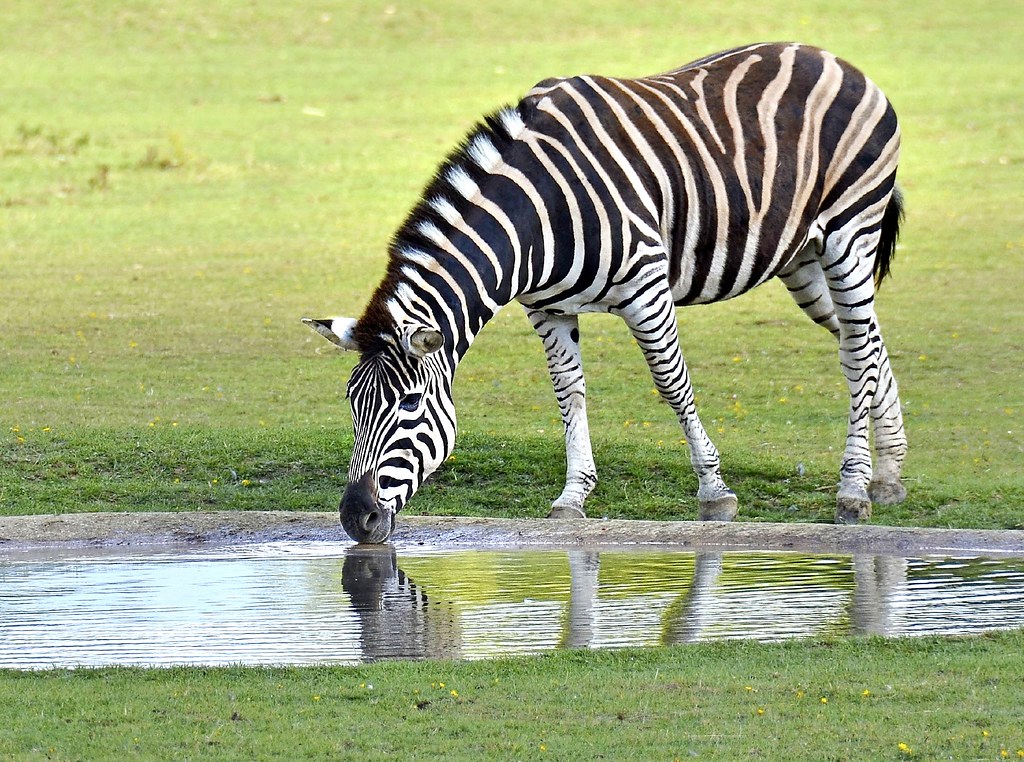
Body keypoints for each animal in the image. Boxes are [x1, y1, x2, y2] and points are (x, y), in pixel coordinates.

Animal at [305, 42, 908, 544]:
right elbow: (568, 393)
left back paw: (853, 490)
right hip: (802, 258)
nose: (355, 519)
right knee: (867, 342)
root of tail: (833, 58)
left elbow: (673, 385)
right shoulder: (546, 308)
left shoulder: (646, 285)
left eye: (408, 404)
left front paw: (714, 492)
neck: (536, 213)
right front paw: (573, 496)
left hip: (850, 234)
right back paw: (889, 475)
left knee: (858, 351)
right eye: (351, 403)